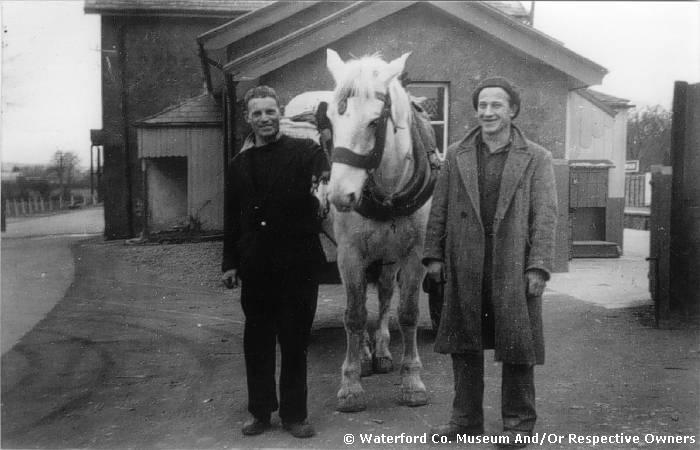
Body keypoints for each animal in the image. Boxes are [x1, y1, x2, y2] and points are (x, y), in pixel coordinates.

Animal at [324, 49, 432, 412]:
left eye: (374, 122)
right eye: (330, 120)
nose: (339, 196)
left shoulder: (415, 253)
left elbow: (408, 313)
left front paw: (412, 380)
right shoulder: (349, 254)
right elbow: (355, 316)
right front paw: (350, 385)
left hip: (389, 255)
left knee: (385, 294)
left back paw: (382, 350)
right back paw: (367, 353)